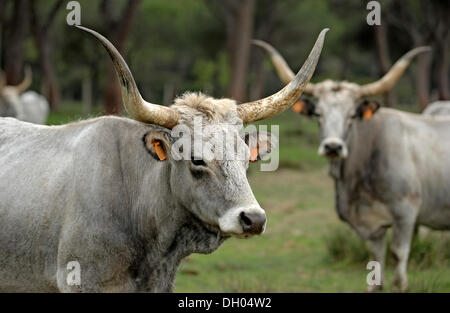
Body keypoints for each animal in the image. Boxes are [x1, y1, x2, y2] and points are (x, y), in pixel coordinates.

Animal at [253, 40, 450, 292]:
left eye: (352, 115)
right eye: (318, 114)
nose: (333, 147)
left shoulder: (406, 213)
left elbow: (398, 255)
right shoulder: (374, 229)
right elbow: (376, 264)